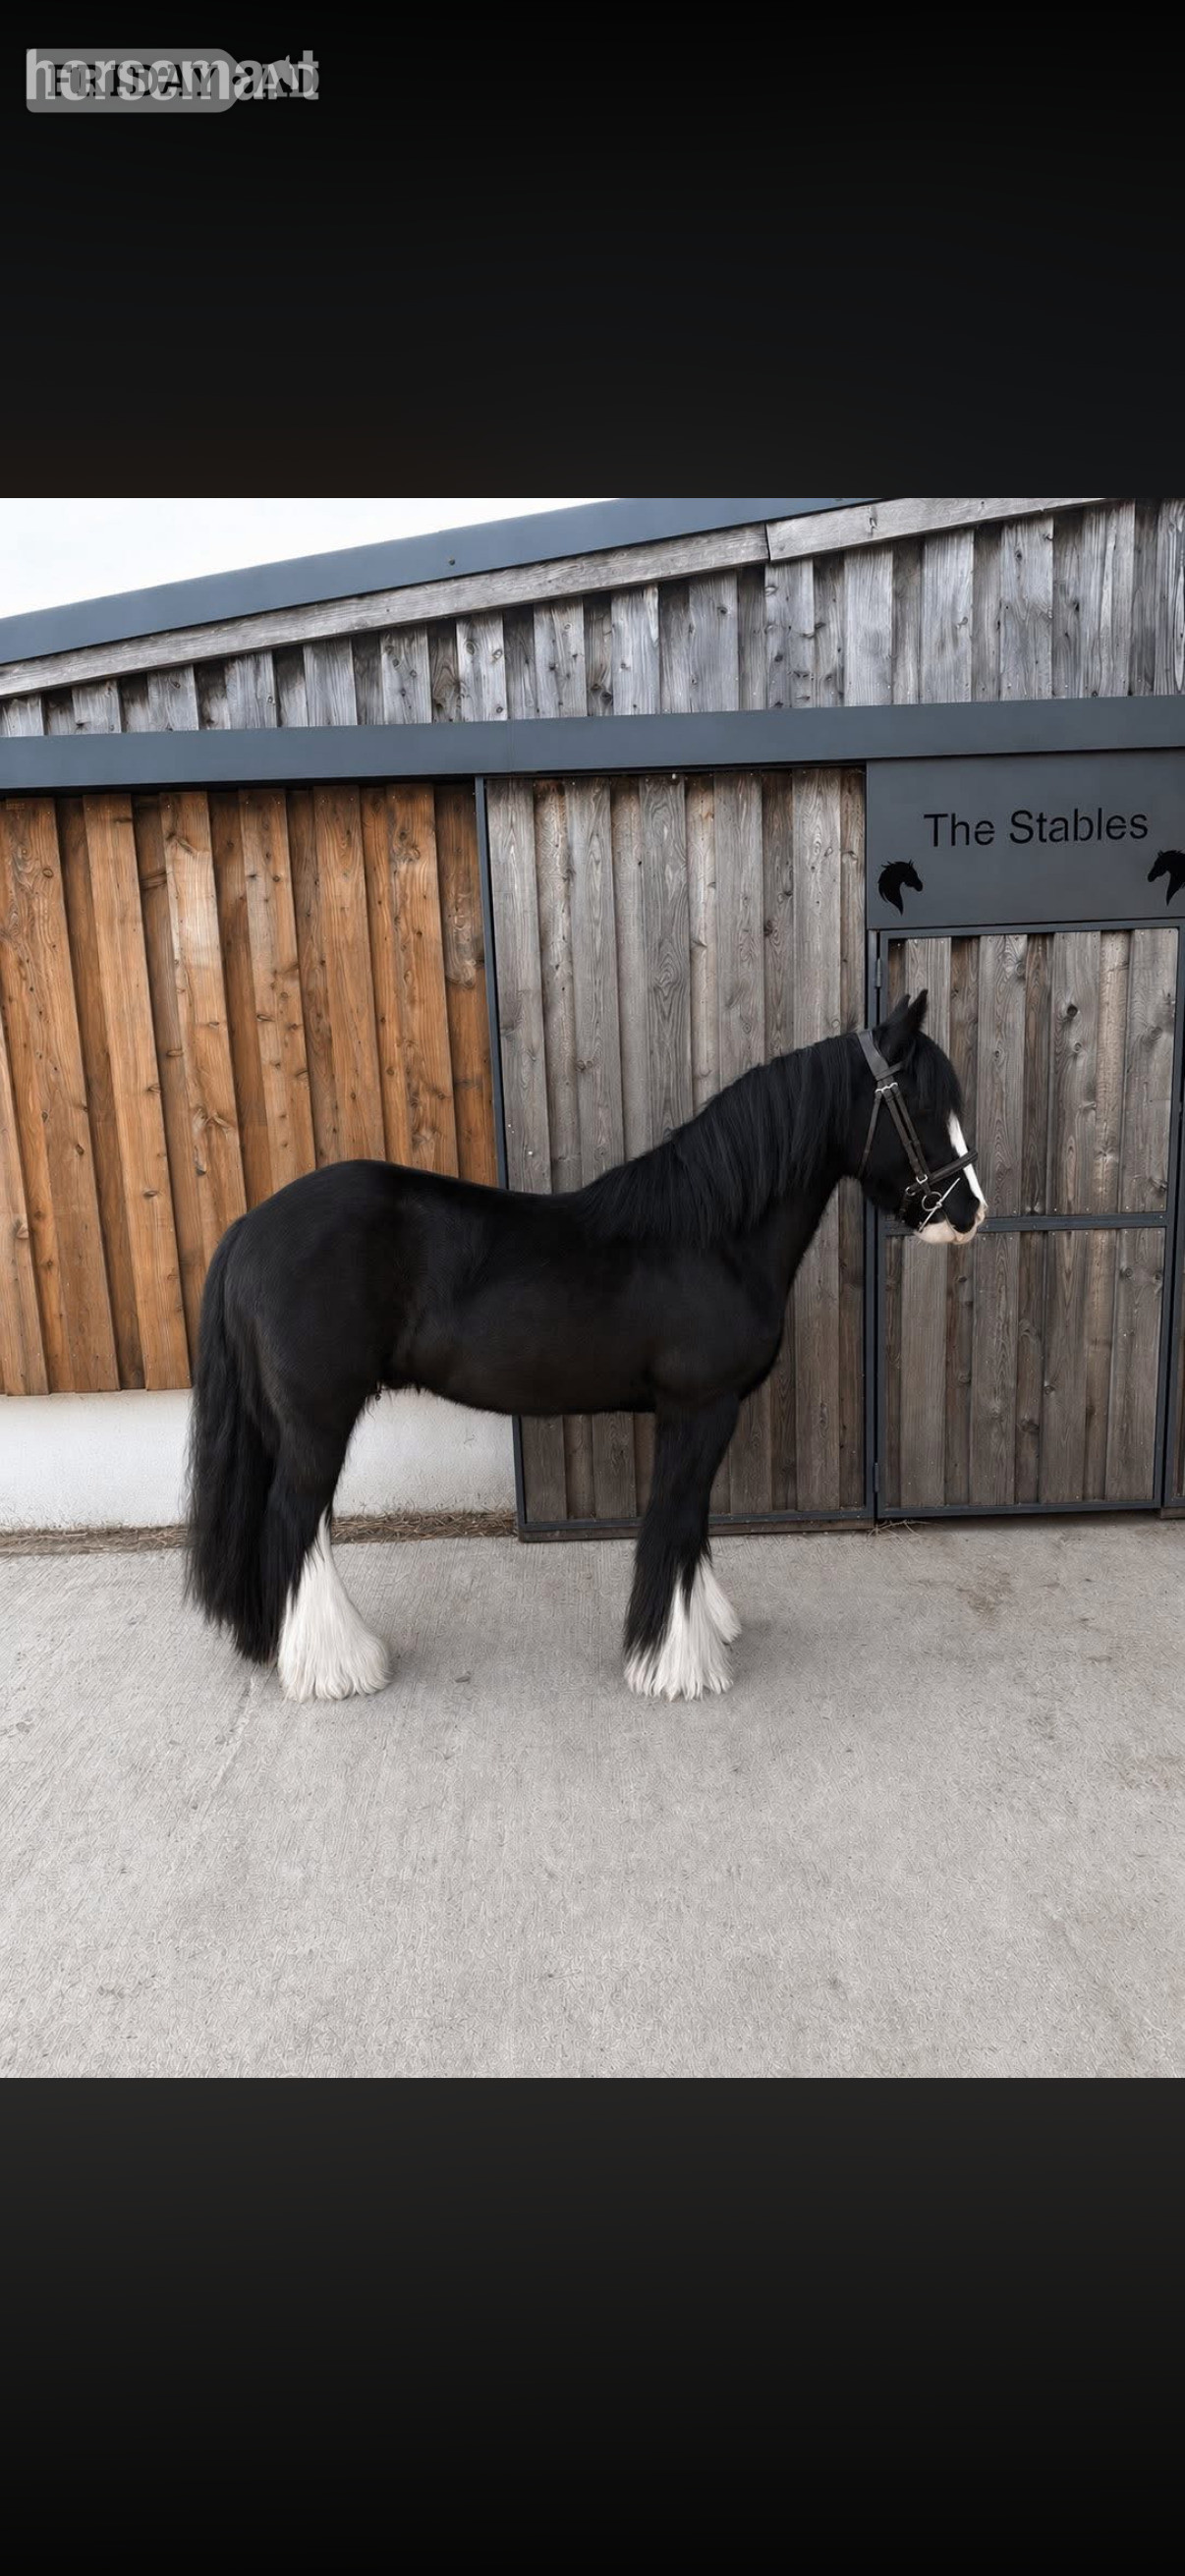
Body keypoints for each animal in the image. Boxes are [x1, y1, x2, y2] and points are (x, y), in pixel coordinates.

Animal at [185, 987, 986, 1705]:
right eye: (919, 1107)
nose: (970, 1213)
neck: (711, 1236)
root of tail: (249, 1225)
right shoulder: (700, 1408)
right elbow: (675, 1517)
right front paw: (675, 1665)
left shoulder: (701, 1414)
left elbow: (693, 1521)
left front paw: (704, 1629)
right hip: (319, 1418)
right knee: (297, 1521)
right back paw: (338, 1668)